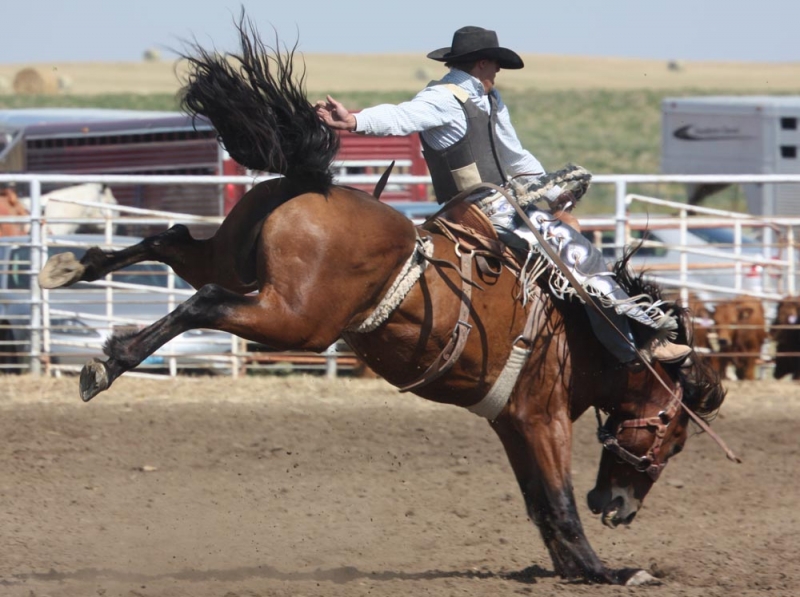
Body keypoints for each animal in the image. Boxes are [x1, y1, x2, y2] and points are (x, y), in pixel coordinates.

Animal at [37, 18, 727, 585]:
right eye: (674, 436)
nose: (618, 508)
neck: (581, 334)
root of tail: (310, 184)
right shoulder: (542, 415)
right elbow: (555, 498)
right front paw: (607, 570)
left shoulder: (509, 421)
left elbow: (539, 502)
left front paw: (571, 566)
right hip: (296, 319)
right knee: (204, 301)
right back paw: (108, 360)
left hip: (236, 259)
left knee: (173, 239)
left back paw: (71, 268)